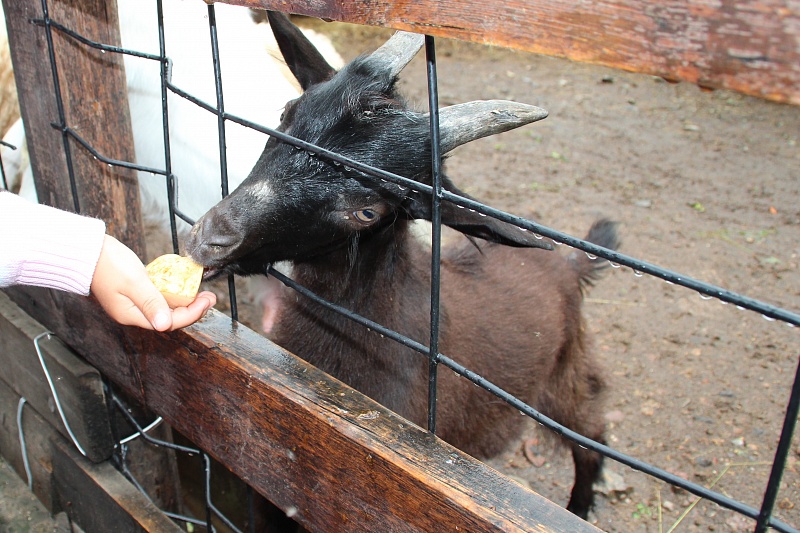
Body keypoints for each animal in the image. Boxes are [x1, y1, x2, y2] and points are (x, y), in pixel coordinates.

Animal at [189, 13, 620, 520]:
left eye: (368, 210)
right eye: (287, 112)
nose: (209, 239)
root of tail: (568, 265)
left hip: (565, 377)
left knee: (591, 436)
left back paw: (579, 504)